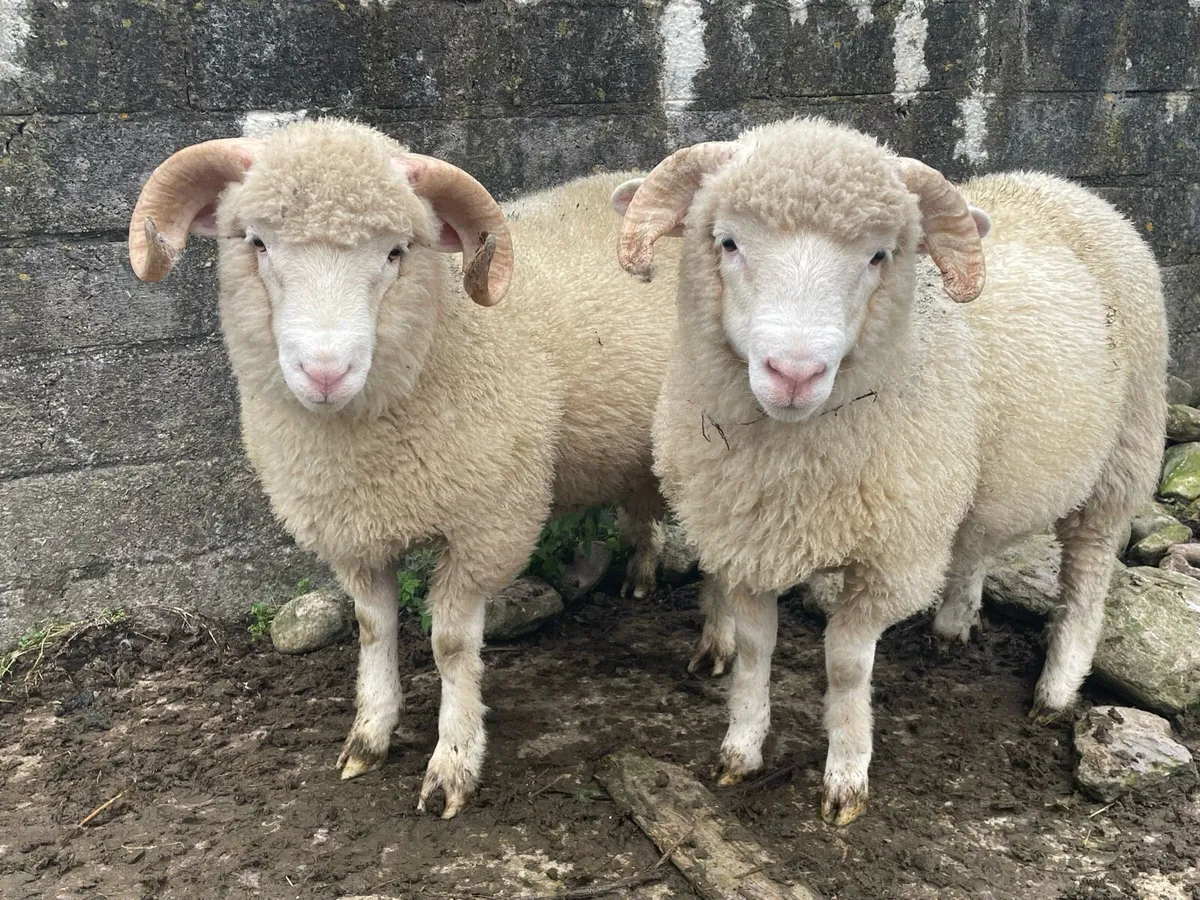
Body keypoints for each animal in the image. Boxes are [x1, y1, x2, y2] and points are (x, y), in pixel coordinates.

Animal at [126, 117, 727, 818]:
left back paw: (718, 642)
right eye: (257, 242)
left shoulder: (487, 524)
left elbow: (450, 646)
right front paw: (369, 736)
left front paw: (454, 762)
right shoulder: (353, 532)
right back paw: (640, 572)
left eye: (395, 252)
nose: (325, 372)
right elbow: (372, 629)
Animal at [615, 117, 1168, 826]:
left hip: (1122, 455)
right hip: (967, 480)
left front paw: (846, 778)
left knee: (1089, 577)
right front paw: (740, 749)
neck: (790, 466)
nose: (794, 374)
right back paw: (954, 624)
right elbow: (756, 650)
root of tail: (1067, 186)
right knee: (976, 540)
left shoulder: (893, 557)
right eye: (727, 241)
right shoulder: (743, 539)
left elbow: (847, 664)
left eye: (879, 256)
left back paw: (1056, 688)